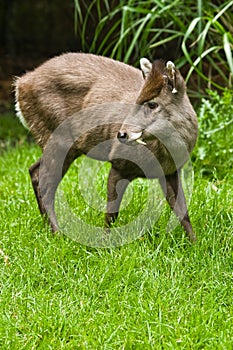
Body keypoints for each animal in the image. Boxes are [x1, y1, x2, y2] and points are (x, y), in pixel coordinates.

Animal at [15, 52, 197, 241]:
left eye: (153, 104)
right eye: (137, 100)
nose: (121, 134)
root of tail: (21, 84)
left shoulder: (170, 171)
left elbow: (183, 211)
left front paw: (194, 242)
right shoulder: (119, 163)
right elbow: (112, 212)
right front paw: (104, 241)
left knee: (34, 171)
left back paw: (47, 226)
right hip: (57, 137)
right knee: (46, 183)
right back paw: (57, 233)